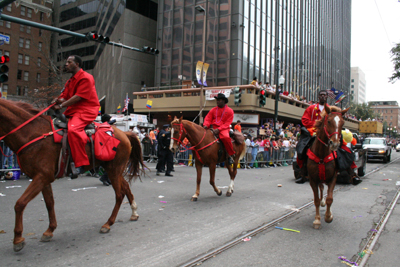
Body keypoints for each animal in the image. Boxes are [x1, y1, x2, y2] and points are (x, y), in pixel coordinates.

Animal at [0, 99, 146, 253]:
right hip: (114, 169)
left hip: (114, 169)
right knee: (125, 187)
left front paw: (18, 239)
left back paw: (108, 223)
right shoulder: (43, 178)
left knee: (119, 194)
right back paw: (134, 212)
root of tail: (125, 134)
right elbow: (49, 203)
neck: (32, 133)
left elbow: (20, 204)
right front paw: (49, 230)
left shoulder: (42, 177)